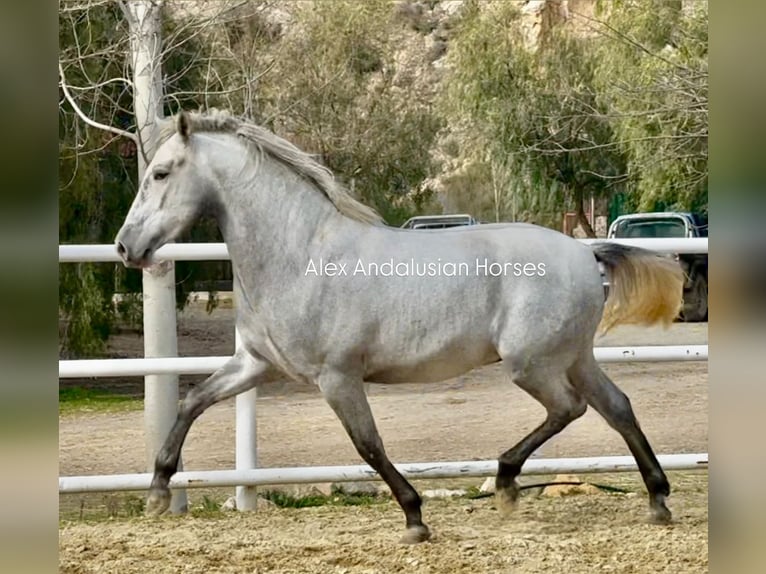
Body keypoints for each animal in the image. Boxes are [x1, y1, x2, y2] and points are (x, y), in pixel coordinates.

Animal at [117, 110, 688, 548]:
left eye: (161, 174)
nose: (126, 247)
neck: (300, 254)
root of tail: (585, 252)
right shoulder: (257, 364)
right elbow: (193, 401)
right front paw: (157, 491)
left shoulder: (337, 378)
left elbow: (368, 446)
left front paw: (415, 518)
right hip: (573, 357)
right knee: (617, 407)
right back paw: (657, 500)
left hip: (533, 364)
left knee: (570, 408)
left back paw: (506, 483)